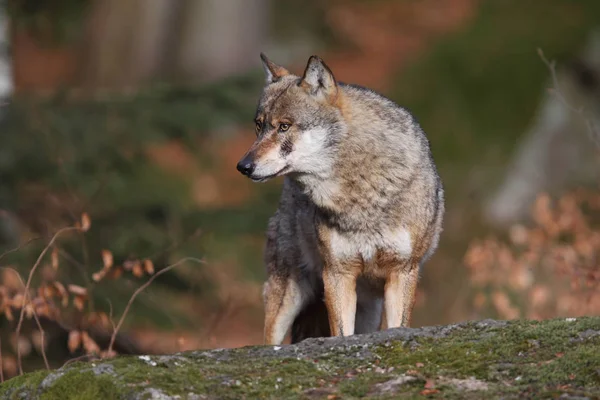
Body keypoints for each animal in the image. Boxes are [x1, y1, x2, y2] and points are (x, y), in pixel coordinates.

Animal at [237, 53, 442, 346]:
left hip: (368, 308)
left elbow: (396, 327)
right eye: (258, 126)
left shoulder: (403, 271)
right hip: (287, 296)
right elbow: (342, 333)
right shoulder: (337, 273)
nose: (243, 166)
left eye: (284, 126)